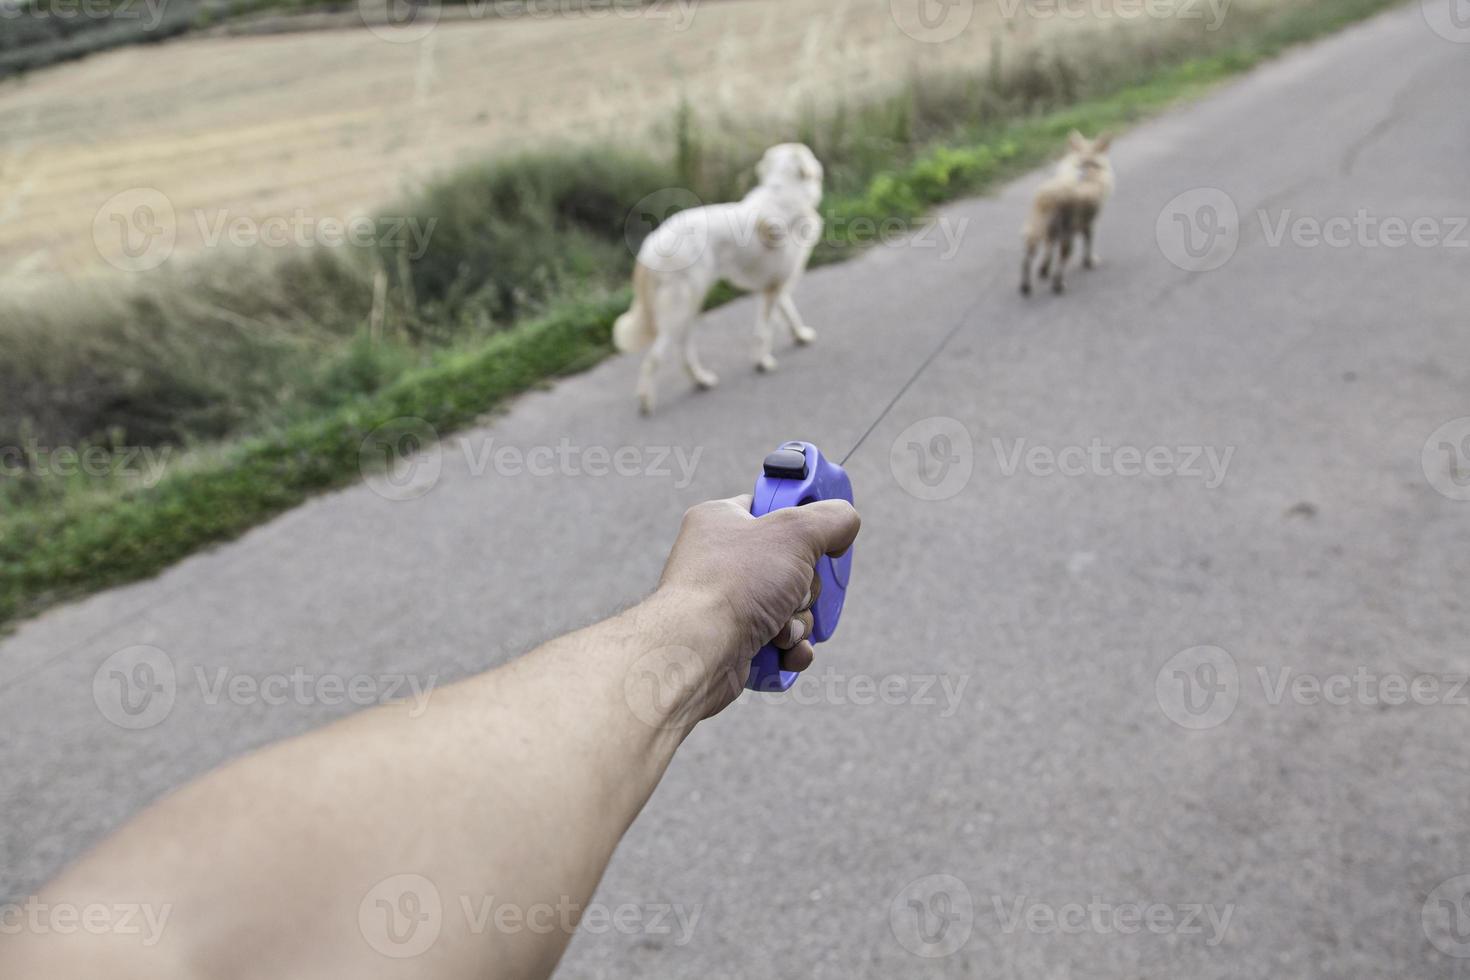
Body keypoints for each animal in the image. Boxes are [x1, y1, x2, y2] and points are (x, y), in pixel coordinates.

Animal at [608, 141, 823, 414]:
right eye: (811, 155)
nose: (818, 164)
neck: (784, 190)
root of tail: (650, 244)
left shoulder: (775, 286)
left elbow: (789, 314)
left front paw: (800, 336)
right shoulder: (773, 288)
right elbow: (764, 331)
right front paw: (763, 362)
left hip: (688, 311)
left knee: (682, 352)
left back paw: (702, 381)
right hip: (682, 310)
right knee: (654, 358)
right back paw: (647, 402)